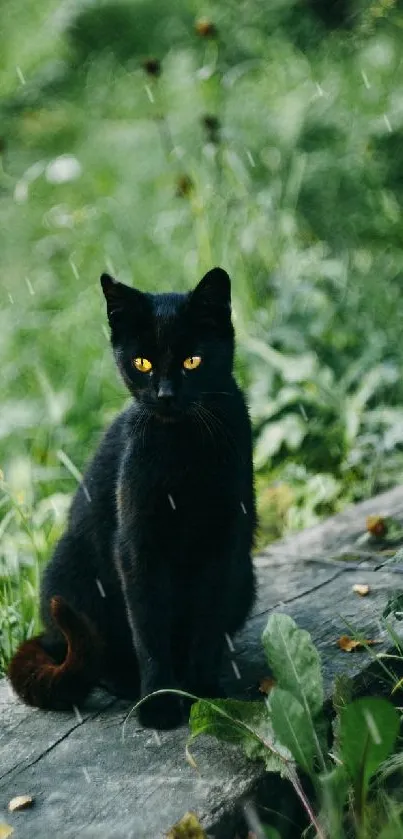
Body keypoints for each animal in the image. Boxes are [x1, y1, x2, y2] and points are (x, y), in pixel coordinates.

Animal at [7, 268, 258, 728]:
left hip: (246, 576)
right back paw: (127, 684)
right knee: (96, 656)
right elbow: (149, 628)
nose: (165, 395)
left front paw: (205, 694)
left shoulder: (223, 544)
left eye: (192, 361)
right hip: (71, 574)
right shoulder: (138, 546)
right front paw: (160, 702)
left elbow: (207, 625)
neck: (183, 450)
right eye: (142, 363)